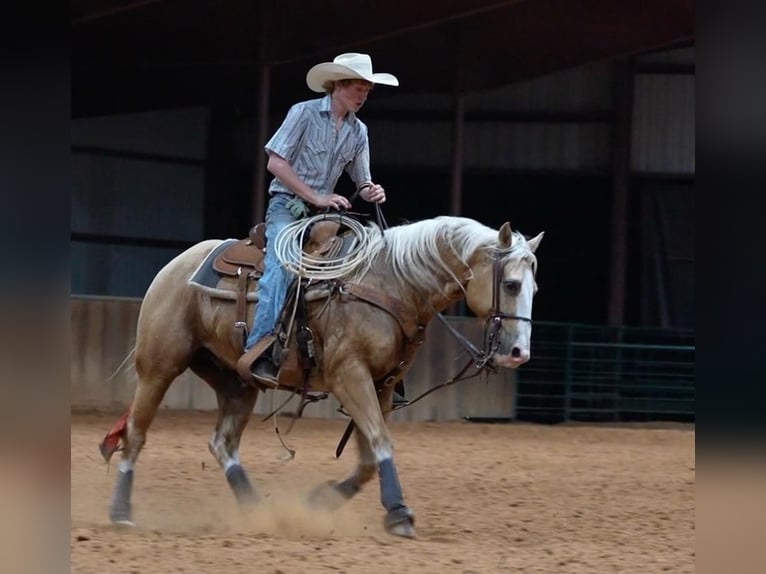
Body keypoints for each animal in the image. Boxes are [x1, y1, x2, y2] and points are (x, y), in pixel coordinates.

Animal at [102, 215, 544, 540]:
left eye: (534, 288)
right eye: (511, 284)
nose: (519, 353)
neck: (390, 283)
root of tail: (174, 267)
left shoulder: (381, 384)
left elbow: (367, 459)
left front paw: (321, 501)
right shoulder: (350, 375)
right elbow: (380, 442)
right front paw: (400, 513)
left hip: (237, 382)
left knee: (222, 443)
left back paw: (258, 512)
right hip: (160, 365)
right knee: (136, 433)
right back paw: (121, 512)